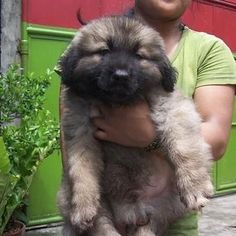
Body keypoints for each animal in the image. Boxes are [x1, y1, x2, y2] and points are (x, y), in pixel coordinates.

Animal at [57, 15, 214, 235]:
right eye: (104, 51)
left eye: (139, 55)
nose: (121, 75)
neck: (119, 103)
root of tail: (133, 212)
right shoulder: (79, 130)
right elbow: (81, 169)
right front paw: (82, 207)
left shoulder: (173, 107)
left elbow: (183, 147)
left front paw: (194, 186)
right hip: (97, 205)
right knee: (103, 225)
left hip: (161, 209)